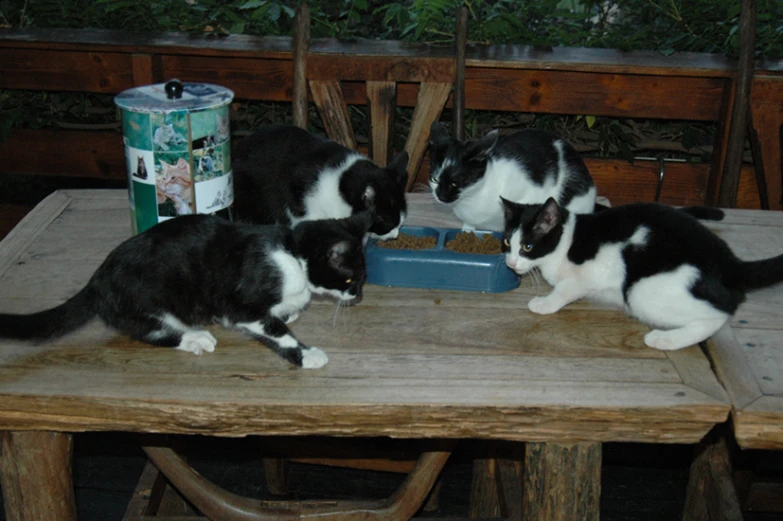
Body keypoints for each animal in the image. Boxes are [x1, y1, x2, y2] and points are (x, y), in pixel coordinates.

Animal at [0, 212, 374, 370]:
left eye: (363, 279)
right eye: (351, 280)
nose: (359, 296)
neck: (293, 253)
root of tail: (97, 280)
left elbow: (291, 309)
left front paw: (293, 309)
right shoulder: (240, 304)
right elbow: (275, 329)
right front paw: (307, 353)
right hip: (148, 297)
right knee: (149, 331)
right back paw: (195, 337)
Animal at [502, 197, 783, 352]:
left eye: (527, 246)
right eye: (506, 242)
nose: (511, 262)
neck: (567, 240)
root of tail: (730, 264)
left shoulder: (598, 269)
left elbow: (566, 287)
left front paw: (545, 303)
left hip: (641, 291)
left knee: (719, 316)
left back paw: (665, 339)